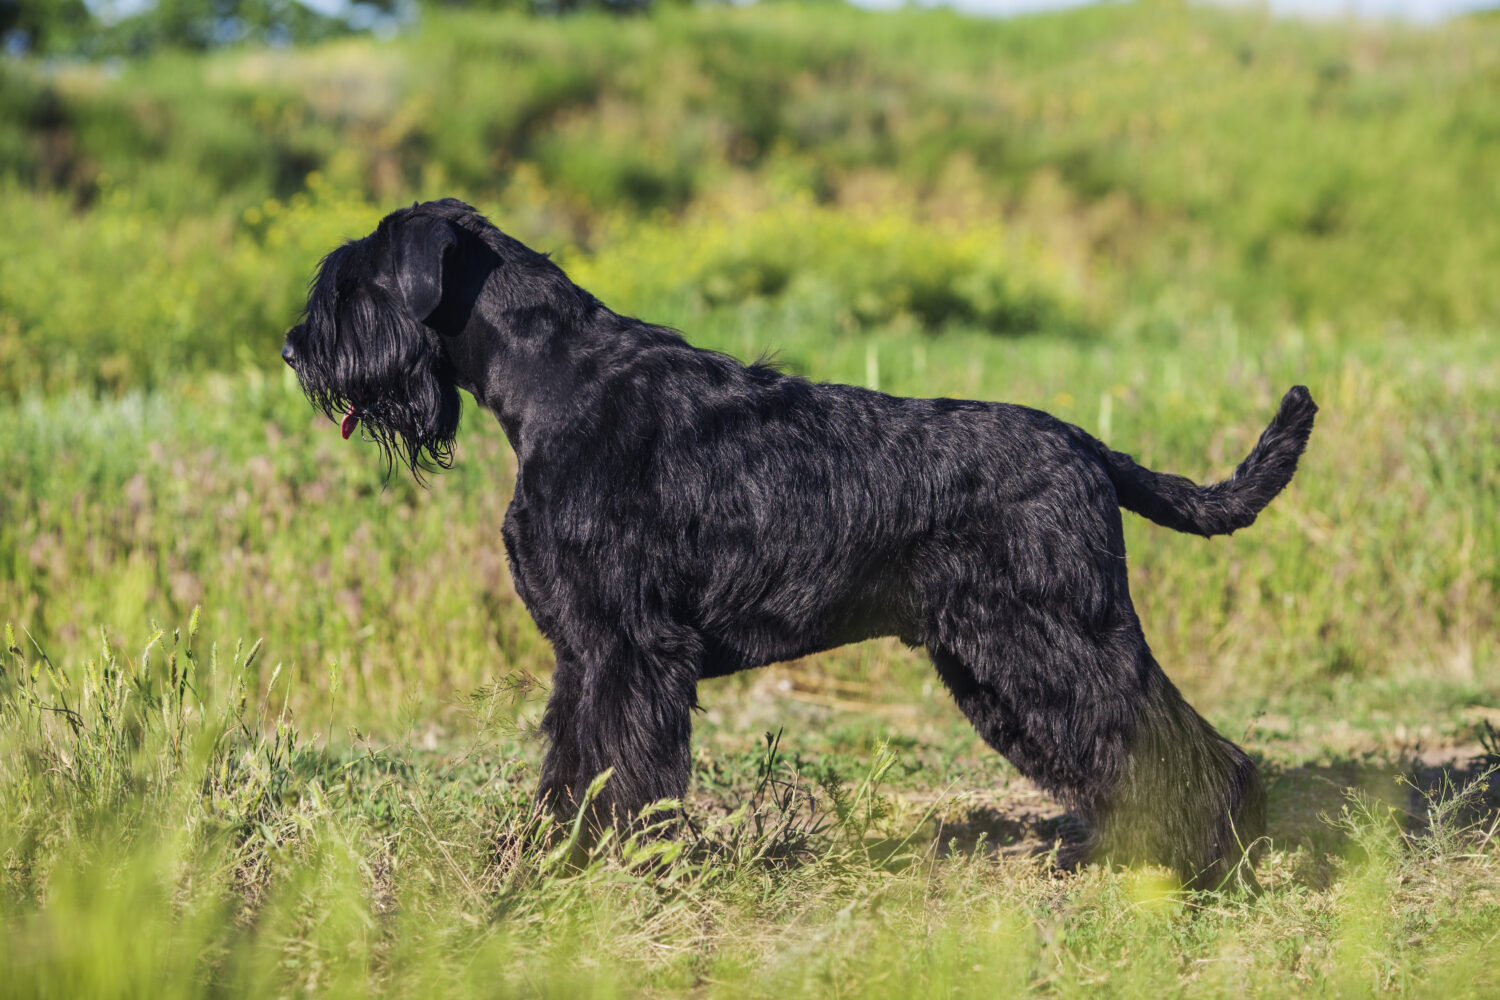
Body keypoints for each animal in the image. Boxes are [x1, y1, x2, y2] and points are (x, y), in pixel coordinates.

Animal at [282, 199, 1314, 887]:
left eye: (352, 285)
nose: (295, 351)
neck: (554, 382)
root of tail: (1089, 449)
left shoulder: (629, 645)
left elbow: (622, 764)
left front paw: (613, 867)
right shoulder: (584, 649)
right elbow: (575, 761)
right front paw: (556, 856)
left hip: (1052, 640)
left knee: (1167, 743)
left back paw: (1191, 859)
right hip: (1001, 657)